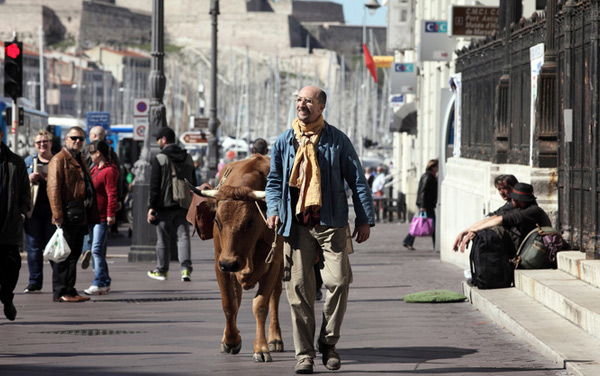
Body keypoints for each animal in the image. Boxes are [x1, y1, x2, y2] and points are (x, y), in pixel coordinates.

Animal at [188, 154, 284, 362]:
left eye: (250, 222)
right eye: (217, 221)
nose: (229, 262)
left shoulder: (273, 263)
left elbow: (261, 304)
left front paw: (261, 348)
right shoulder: (220, 264)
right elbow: (229, 303)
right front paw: (231, 341)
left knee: (275, 296)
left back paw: (275, 338)